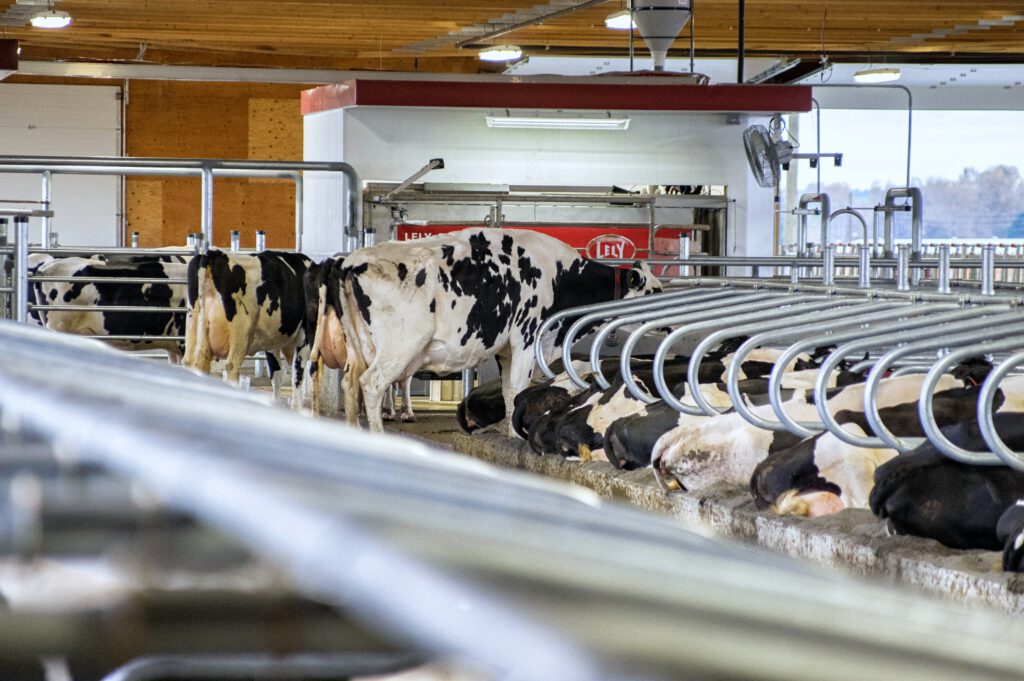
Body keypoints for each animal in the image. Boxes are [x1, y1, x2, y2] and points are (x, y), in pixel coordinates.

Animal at [184, 249, 313, 406]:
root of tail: (213, 254)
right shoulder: (304, 337)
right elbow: (297, 375)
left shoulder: (271, 342)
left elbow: (277, 375)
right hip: (240, 333)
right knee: (231, 366)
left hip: (193, 324)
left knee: (191, 362)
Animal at [336, 228, 662, 434]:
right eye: (654, 291)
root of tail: (353, 260)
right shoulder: (527, 338)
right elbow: (518, 388)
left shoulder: (506, 350)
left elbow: (508, 391)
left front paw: (509, 430)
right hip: (400, 346)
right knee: (373, 384)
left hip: (360, 348)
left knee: (350, 385)